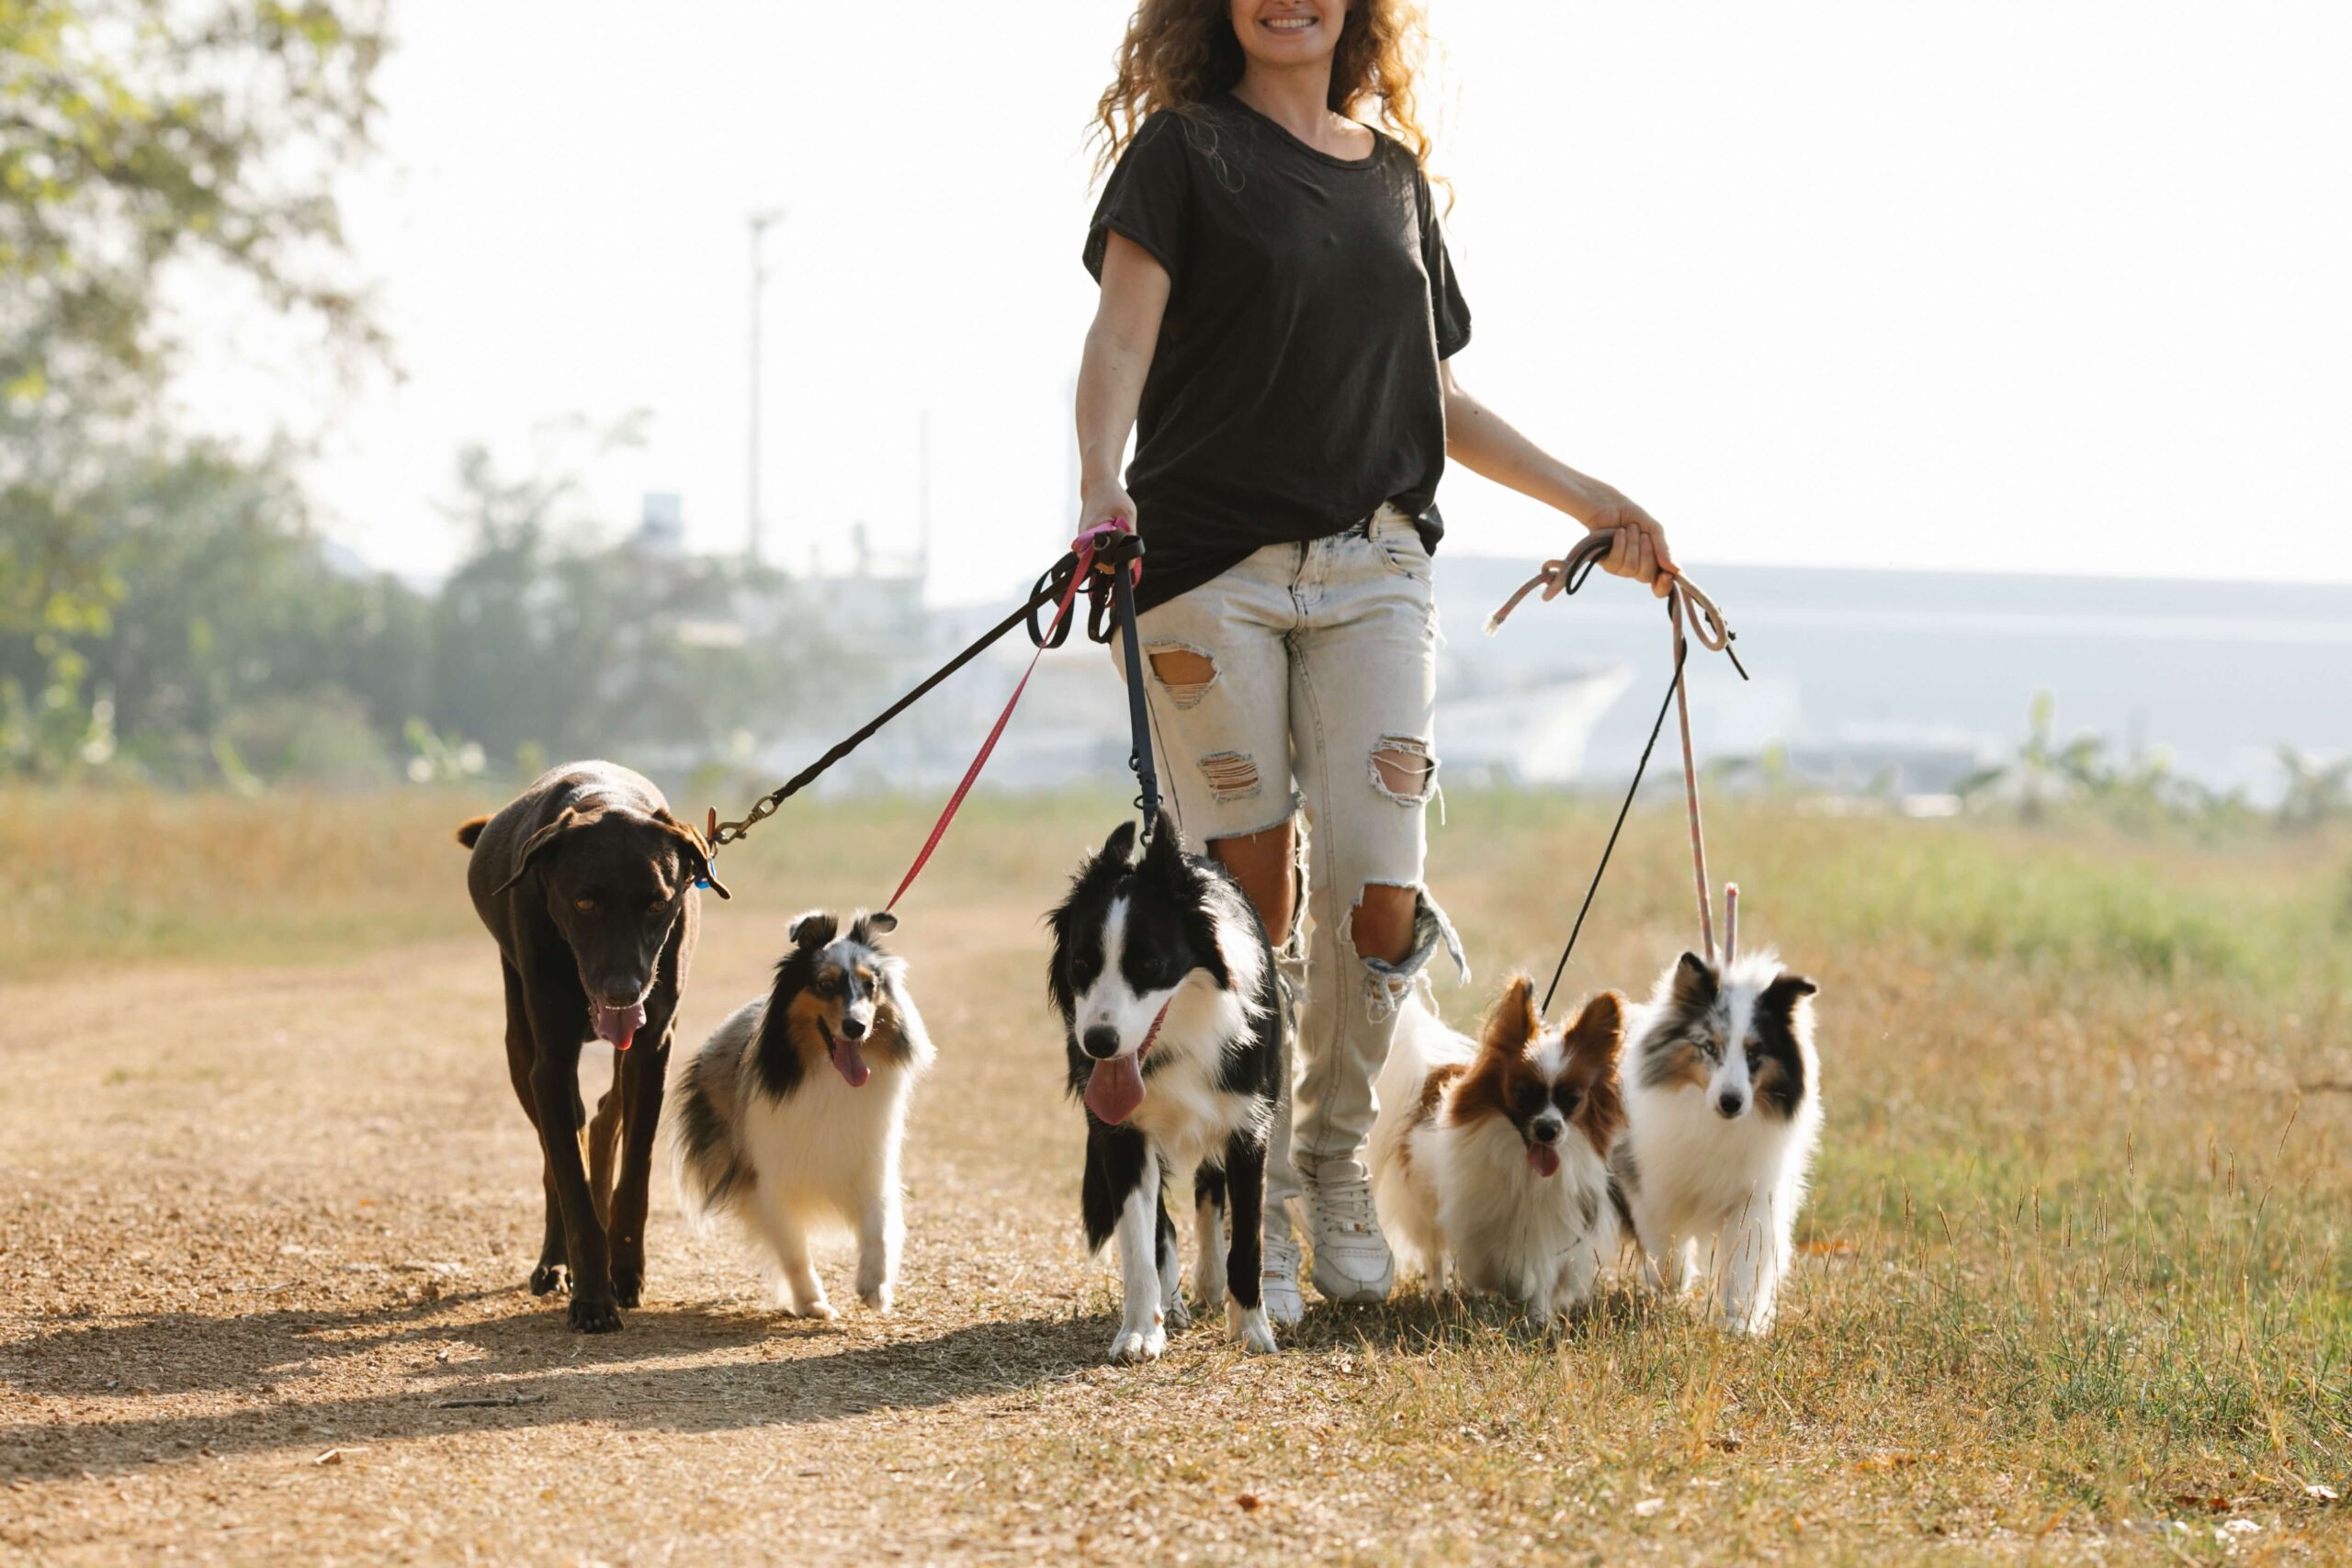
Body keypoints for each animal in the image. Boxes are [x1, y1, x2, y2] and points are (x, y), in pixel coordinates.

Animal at [454, 761, 719, 1325]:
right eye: (584, 902)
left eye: (657, 902)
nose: (622, 990)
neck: (607, 800)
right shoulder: (551, 1062)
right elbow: (569, 1183)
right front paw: (593, 1297)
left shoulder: (652, 1046)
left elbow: (635, 1172)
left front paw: (626, 1270)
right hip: (520, 1039)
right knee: (559, 1148)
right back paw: (556, 1263)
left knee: (601, 1117)